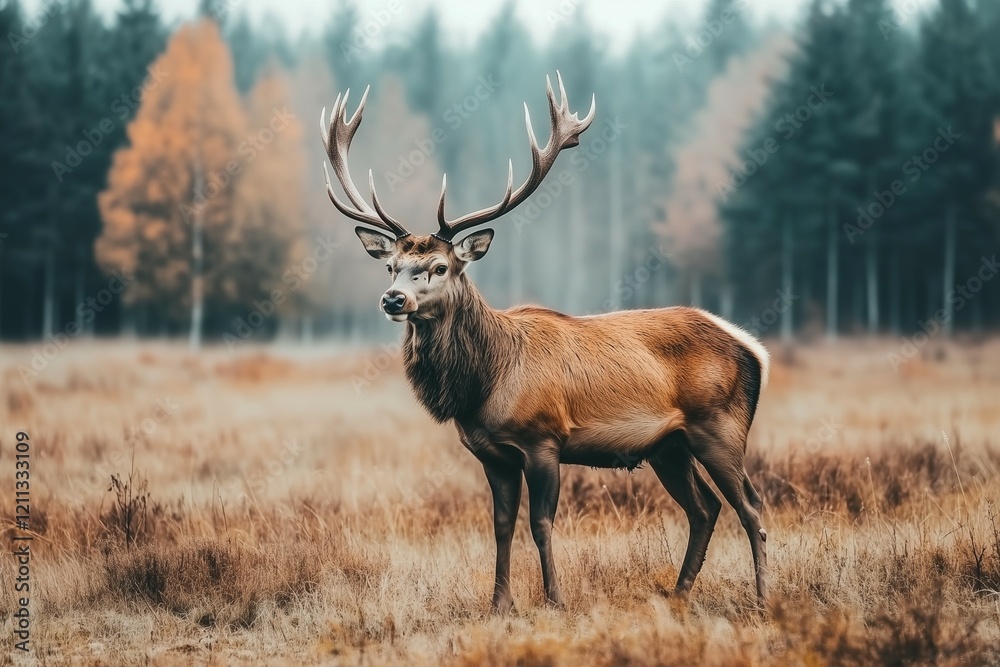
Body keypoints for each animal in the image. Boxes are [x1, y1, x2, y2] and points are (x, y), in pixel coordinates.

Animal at [320, 73, 771, 613]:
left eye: (440, 267)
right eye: (391, 266)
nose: (393, 299)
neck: (483, 384)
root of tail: (754, 349)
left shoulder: (544, 439)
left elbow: (540, 523)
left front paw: (555, 599)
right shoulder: (491, 454)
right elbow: (500, 526)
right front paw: (499, 604)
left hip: (720, 426)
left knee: (750, 506)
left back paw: (763, 600)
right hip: (670, 446)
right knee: (704, 509)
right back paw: (678, 595)